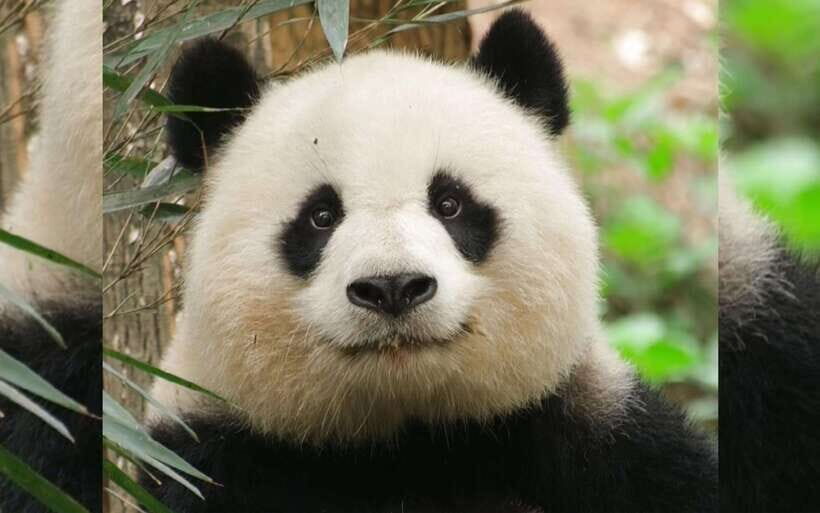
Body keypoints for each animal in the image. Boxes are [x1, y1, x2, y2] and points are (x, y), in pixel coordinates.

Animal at [143, 10, 718, 512]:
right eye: (321, 216)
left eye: (449, 203)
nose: (392, 287)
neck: (413, 438)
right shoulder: (214, 454)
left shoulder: (596, 433)